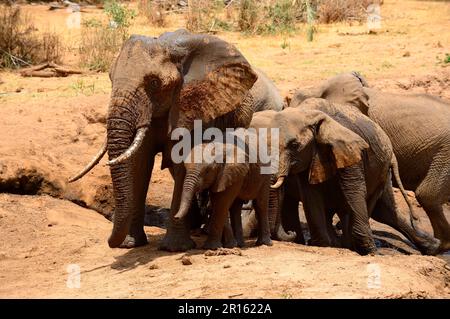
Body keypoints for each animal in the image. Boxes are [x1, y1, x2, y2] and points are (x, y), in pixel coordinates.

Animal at [68, 28, 258, 251]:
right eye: (110, 78)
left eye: (154, 83)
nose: (110, 242)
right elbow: (139, 164)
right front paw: (130, 244)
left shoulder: (194, 109)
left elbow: (182, 162)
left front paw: (175, 248)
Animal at [268, 100, 438, 255]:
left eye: (294, 145)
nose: (290, 233)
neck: (308, 113)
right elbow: (311, 195)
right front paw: (323, 244)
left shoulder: (350, 151)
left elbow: (353, 190)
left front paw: (369, 251)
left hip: (382, 172)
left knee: (377, 207)